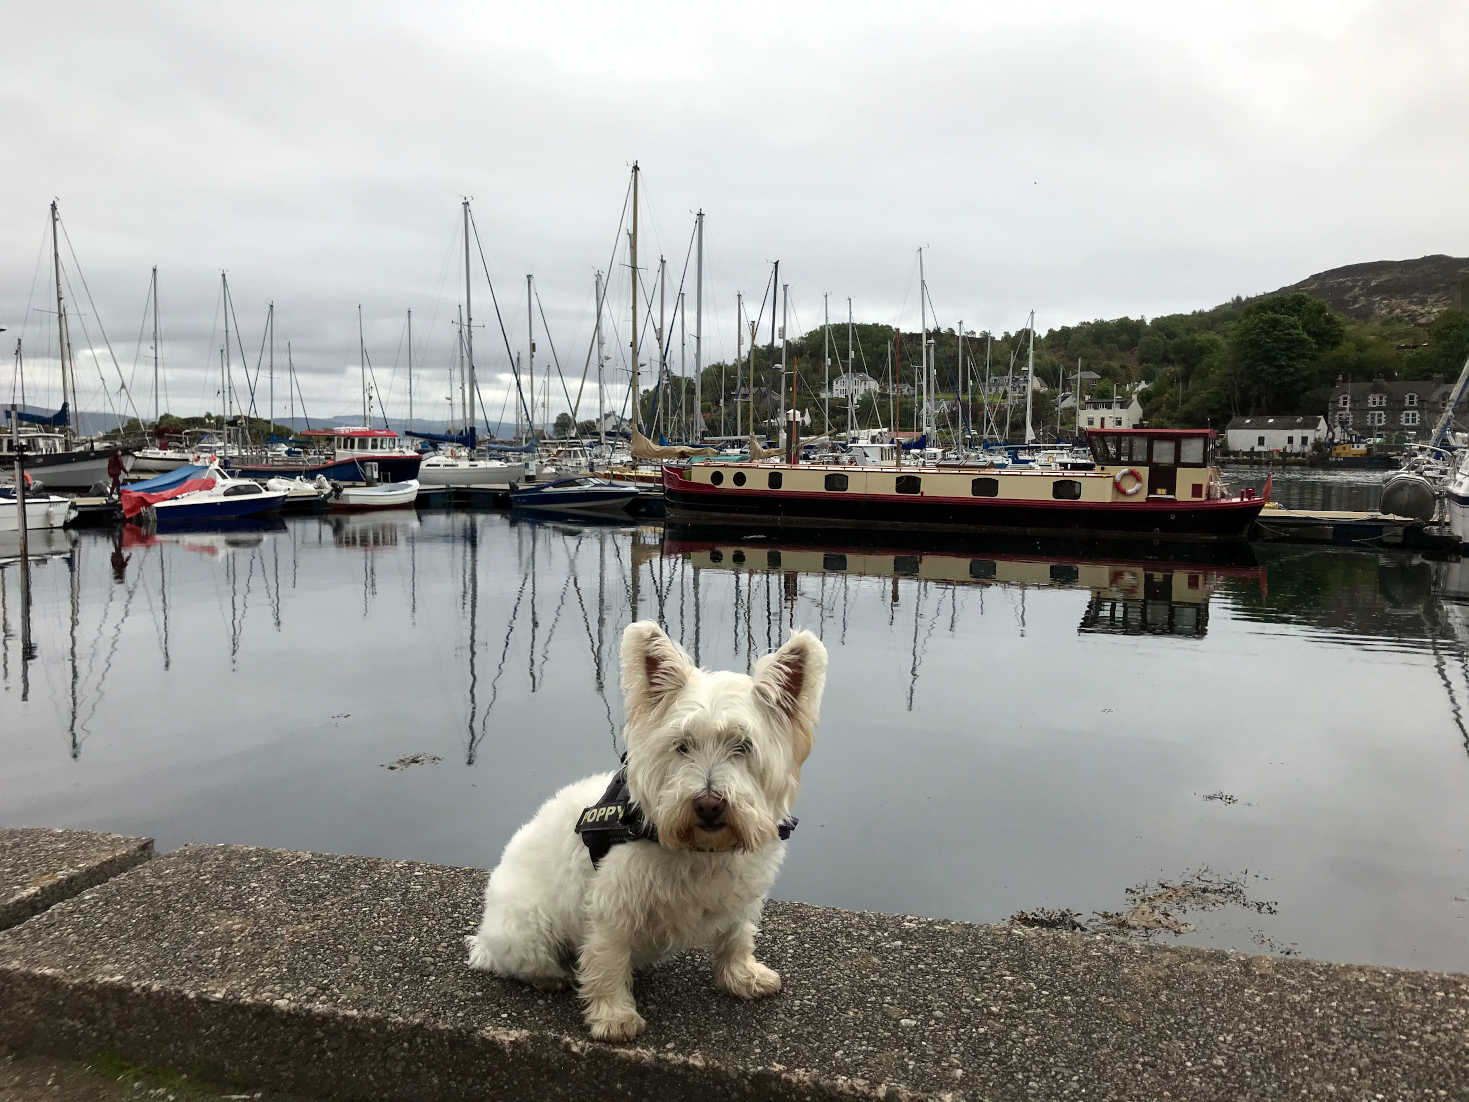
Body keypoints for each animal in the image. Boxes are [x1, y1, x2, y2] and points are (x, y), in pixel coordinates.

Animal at [467, 622, 828, 1046]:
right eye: (682, 746)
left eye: (742, 746)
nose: (709, 805)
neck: (701, 850)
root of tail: (485, 936)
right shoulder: (612, 903)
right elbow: (606, 959)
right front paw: (614, 1016)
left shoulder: (741, 893)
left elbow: (736, 936)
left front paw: (742, 976)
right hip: (528, 925)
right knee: (523, 961)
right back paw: (551, 977)